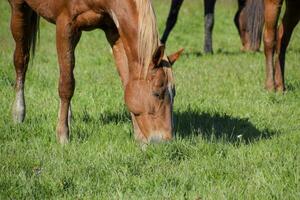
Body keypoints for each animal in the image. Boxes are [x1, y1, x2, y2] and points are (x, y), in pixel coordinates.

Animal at [8, 0, 183, 144]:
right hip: (19, 9)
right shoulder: (65, 24)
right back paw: (18, 114)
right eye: (157, 94)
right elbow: (66, 85)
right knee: (21, 60)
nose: (166, 140)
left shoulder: (113, 31)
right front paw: (63, 136)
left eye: (174, 94)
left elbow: (127, 81)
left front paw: (140, 138)